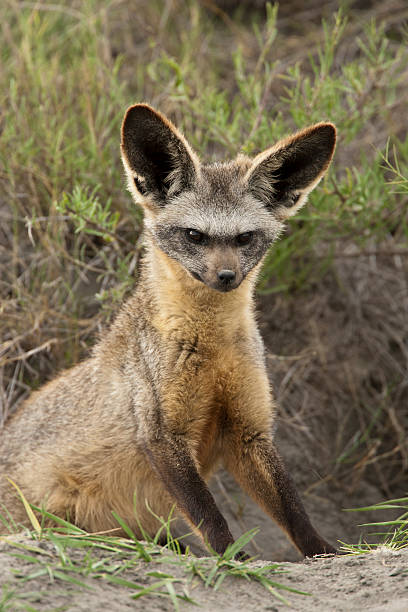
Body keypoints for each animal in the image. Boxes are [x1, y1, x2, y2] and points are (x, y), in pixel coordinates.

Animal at [0, 104, 336, 560]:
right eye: (194, 235)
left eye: (245, 238)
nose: (226, 276)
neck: (211, 349)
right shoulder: (162, 433)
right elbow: (209, 515)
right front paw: (233, 561)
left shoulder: (249, 430)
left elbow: (293, 510)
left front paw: (328, 552)